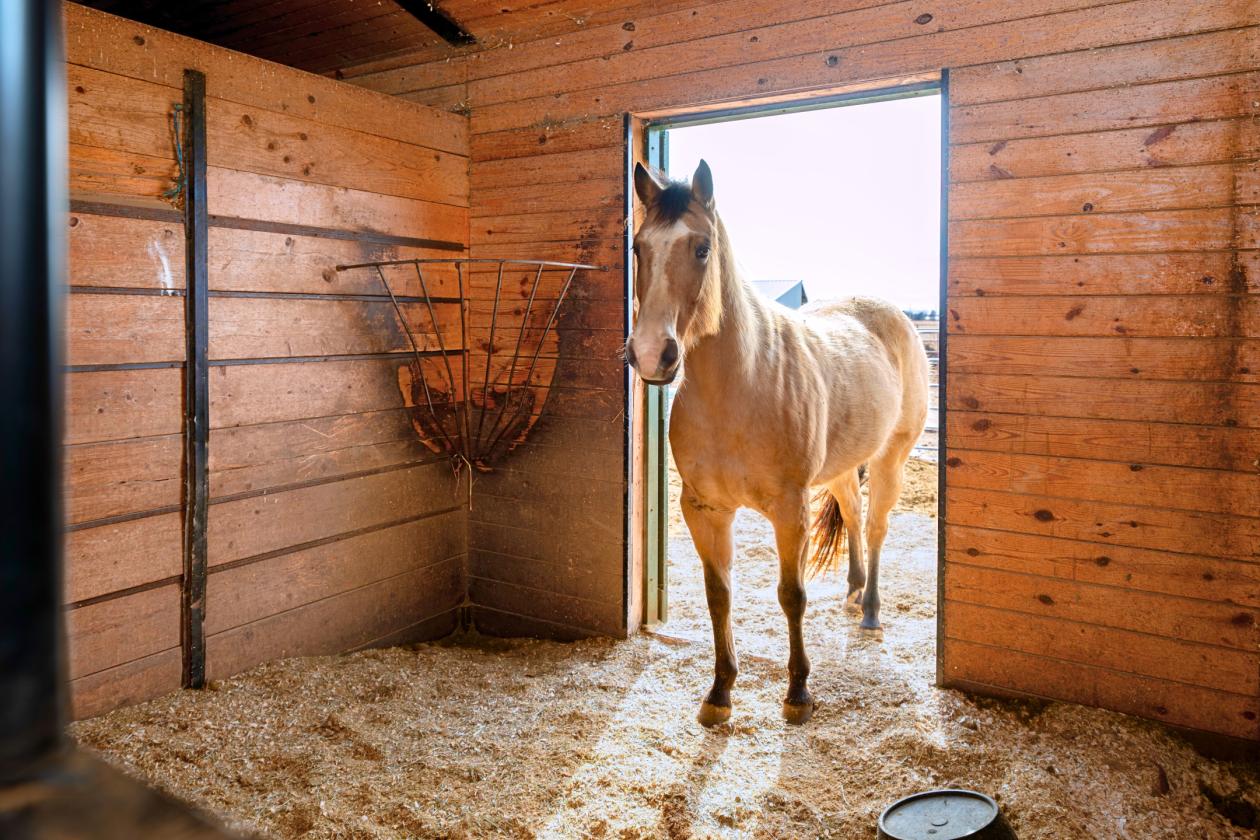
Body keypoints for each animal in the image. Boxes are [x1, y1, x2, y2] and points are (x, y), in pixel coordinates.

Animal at [627, 160, 929, 726]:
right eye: (638, 247)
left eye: (702, 248)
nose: (653, 354)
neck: (739, 386)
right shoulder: (704, 508)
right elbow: (719, 595)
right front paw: (720, 692)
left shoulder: (790, 509)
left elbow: (792, 595)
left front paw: (798, 693)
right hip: (841, 467)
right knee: (853, 512)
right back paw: (854, 590)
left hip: (891, 458)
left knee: (876, 526)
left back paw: (871, 611)